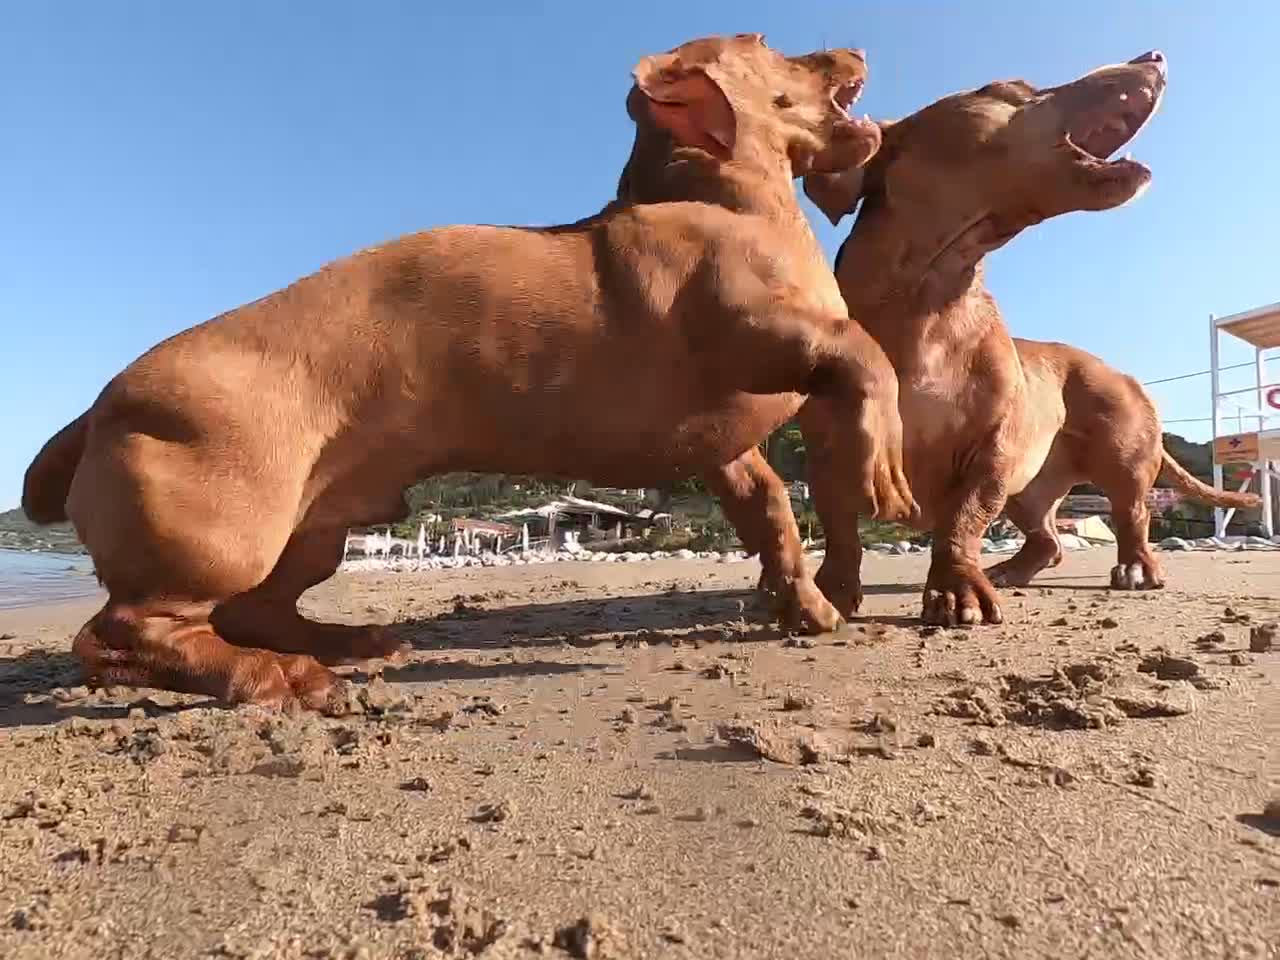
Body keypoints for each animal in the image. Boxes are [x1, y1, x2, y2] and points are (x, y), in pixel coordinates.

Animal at [15, 33, 906, 711]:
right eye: (767, 43)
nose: (856, 43)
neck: (726, 199)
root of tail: (100, 404)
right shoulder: (751, 339)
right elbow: (868, 354)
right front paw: (884, 467)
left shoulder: (723, 446)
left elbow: (773, 514)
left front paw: (808, 605)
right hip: (230, 532)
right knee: (125, 632)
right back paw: (277, 678)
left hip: (316, 530)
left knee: (254, 611)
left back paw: (344, 642)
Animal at [798, 48, 1218, 627]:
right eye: (1003, 88)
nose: (1153, 54)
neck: (927, 298)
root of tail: (1118, 370)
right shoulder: (830, 445)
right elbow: (839, 528)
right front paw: (830, 592)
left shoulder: (993, 447)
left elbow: (963, 520)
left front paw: (957, 589)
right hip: (1030, 487)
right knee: (1049, 540)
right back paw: (1011, 571)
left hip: (1121, 458)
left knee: (1132, 515)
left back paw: (1136, 568)